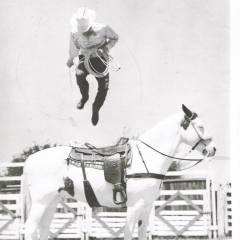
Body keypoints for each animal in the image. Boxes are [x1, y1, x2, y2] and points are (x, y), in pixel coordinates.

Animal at [23, 105, 217, 240]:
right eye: (200, 126)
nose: (213, 149)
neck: (146, 158)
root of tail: (30, 160)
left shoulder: (146, 207)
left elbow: (142, 233)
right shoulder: (134, 206)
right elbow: (129, 233)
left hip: (51, 202)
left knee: (43, 230)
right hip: (41, 202)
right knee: (30, 229)